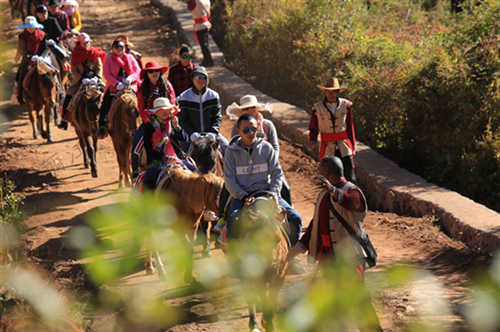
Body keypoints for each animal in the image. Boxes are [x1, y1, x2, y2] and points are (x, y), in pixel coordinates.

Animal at [223, 192, 290, 332]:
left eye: (278, 239)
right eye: (256, 239)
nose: (269, 270)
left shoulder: (279, 278)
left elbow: (272, 303)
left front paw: (266, 322)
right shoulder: (259, 280)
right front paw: (267, 325)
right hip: (244, 276)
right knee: (249, 295)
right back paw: (253, 324)